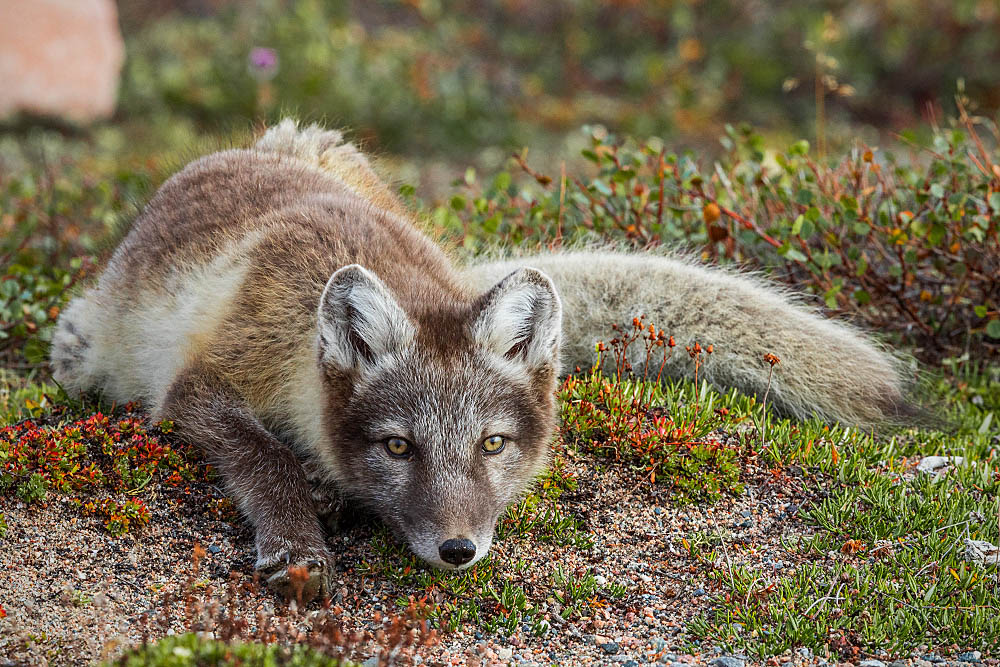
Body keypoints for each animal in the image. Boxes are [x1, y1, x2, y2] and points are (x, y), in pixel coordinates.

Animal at [52, 118, 916, 600]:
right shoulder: (204, 381)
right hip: (79, 349)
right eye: (399, 445)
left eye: (492, 444)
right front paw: (299, 546)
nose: (458, 550)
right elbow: (266, 455)